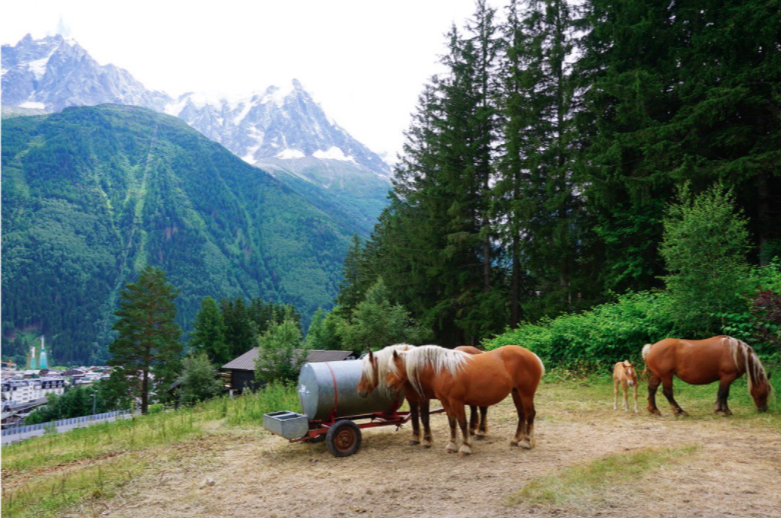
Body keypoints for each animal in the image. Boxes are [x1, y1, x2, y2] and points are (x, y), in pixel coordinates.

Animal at [357, 344, 488, 448]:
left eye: (366, 372)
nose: (360, 392)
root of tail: (478, 351)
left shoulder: (423, 398)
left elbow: (424, 417)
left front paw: (426, 440)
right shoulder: (411, 399)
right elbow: (415, 416)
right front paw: (415, 439)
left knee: (483, 410)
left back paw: (481, 432)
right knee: (474, 409)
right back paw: (472, 429)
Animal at [385, 345, 544, 457]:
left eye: (391, 369)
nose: (388, 386)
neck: (442, 369)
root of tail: (532, 355)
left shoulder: (456, 401)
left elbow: (462, 422)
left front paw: (465, 447)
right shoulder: (445, 402)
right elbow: (452, 422)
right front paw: (452, 445)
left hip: (526, 393)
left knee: (530, 414)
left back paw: (527, 442)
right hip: (516, 393)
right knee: (522, 415)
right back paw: (516, 440)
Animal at [642, 335, 773, 416]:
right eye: (765, 390)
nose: (764, 409)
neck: (737, 353)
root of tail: (651, 347)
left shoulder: (727, 379)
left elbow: (725, 394)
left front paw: (726, 410)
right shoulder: (727, 377)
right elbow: (722, 393)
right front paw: (719, 411)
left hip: (657, 375)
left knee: (652, 389)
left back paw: (654, 410)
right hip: (666, 376)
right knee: (668, 393)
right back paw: (679, 411)